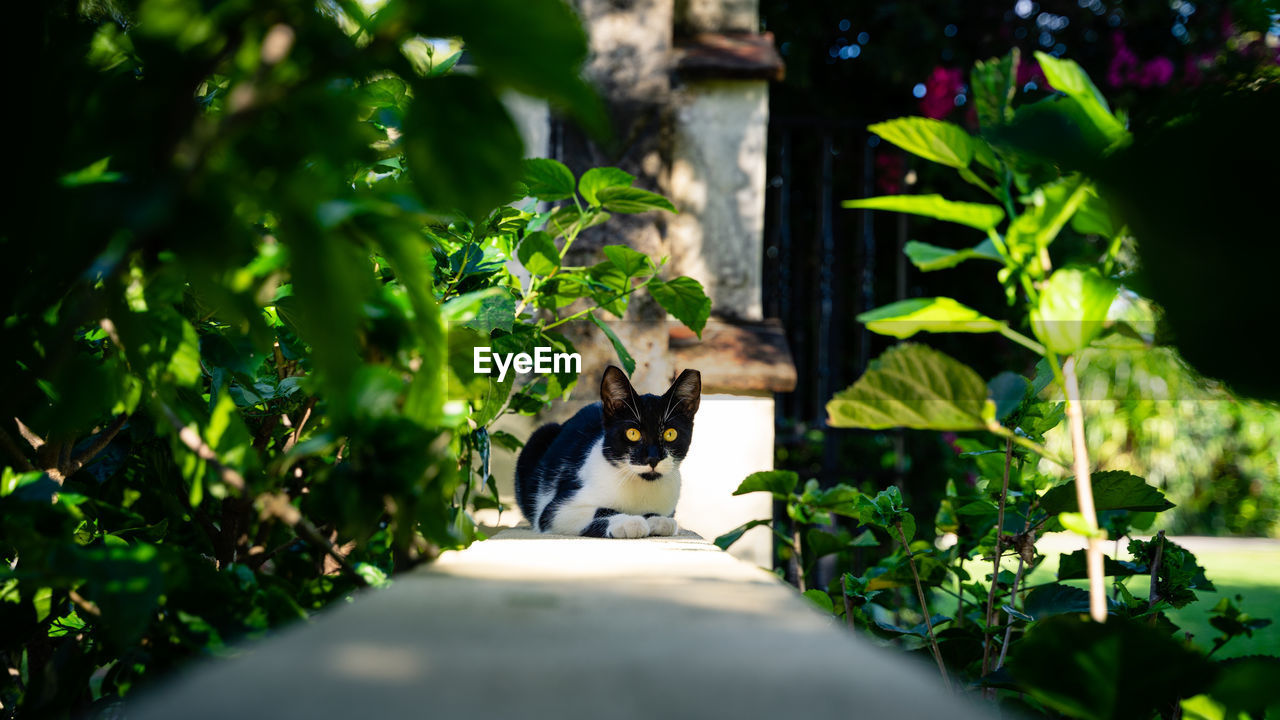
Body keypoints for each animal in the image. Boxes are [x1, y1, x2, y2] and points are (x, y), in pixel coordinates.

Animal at [514, 366, 706, 535]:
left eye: (670, 434)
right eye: (632, 433)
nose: (653, 458)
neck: (641, 484)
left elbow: (664, 517)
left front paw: (657, 519)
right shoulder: (557, 510)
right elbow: (596, 510)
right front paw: (628, 522)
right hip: (540, 435)